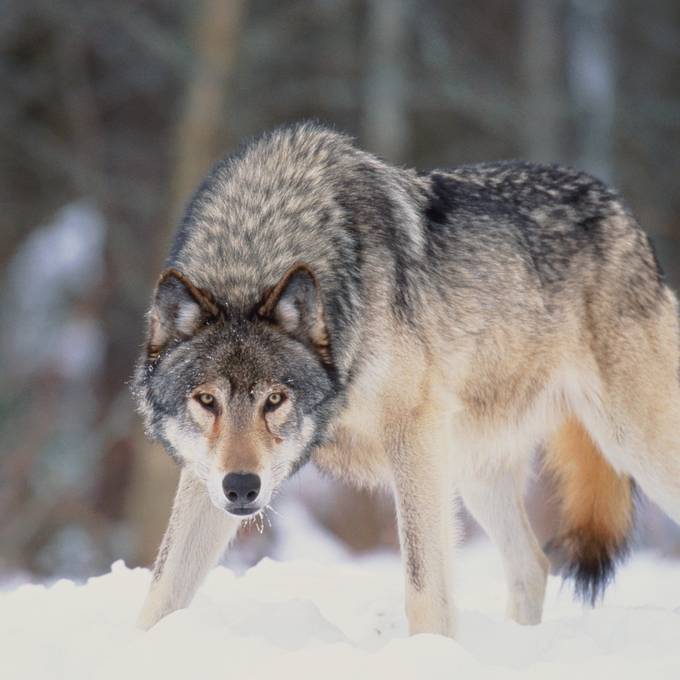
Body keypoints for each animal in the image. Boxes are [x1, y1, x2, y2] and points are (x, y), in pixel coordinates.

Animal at [133, 122, 680, 636]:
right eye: (207, 400)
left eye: (275, 399)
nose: (242, 488)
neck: (258, 244)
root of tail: (624, 213)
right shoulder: (204, 474)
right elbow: (162, 589)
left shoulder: (413, 435)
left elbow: (424, 586)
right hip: (475, 469)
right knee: (533, 565)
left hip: (634, 446)